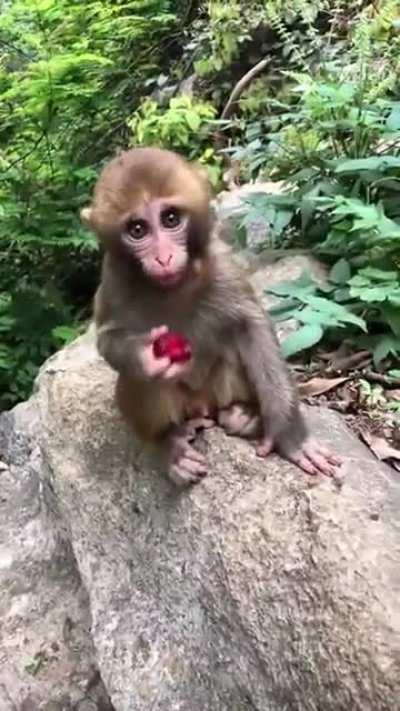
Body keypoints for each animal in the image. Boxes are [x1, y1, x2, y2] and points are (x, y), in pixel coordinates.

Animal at [81, 147, 341, 486]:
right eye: (137, 230)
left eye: (170, 219)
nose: (163, 257)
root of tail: (203, 406)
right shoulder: (113, 278)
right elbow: (108, 340)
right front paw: (145, 357)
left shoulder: (222, 263)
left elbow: (252, 326)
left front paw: (288, 433)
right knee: (140, 381)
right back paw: (171, 442)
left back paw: (245, 415)